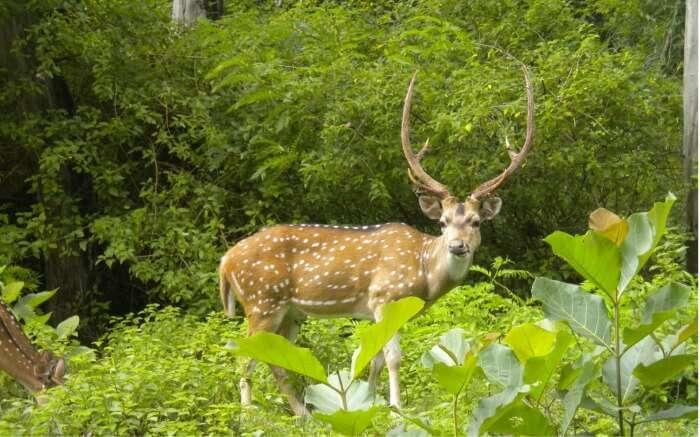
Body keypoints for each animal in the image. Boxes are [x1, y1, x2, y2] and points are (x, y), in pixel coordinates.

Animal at [220, 66, 536, 414]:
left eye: (476, 222)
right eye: (442, 222)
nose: (457, 246)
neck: (424, 275)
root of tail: (225, 262)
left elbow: (375, 360)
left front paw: (368, 402)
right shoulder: (385, 296)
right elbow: (393, 357)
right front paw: (397, 408)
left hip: (290, 313)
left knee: (277, 359)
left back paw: (302, 413)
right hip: (262, 300)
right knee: (244, 357)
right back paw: (249, 416)